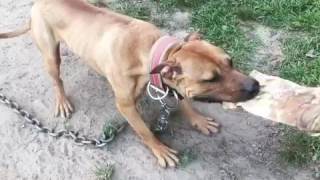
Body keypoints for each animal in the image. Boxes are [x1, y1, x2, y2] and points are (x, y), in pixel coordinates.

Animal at [0, 0, 258, 168]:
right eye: (210, 79)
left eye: (230, 61)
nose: (255, 87)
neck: (150, 51)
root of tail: (38, 4)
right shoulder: (125, 106)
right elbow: (144, 131)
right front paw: (160, 149)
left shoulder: (172, 84)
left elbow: (185, 102)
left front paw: (198, 120)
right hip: (51, 56)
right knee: (57, 80)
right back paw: (62, 100)